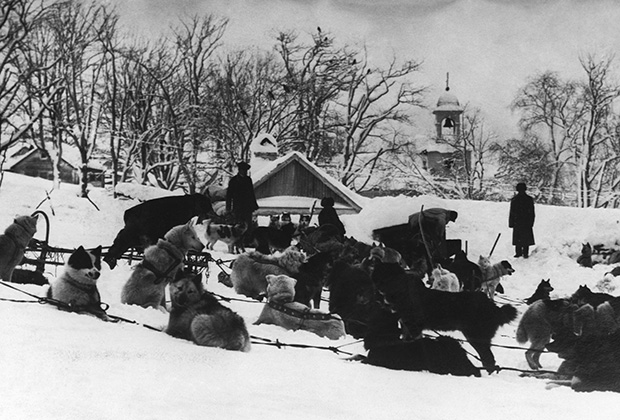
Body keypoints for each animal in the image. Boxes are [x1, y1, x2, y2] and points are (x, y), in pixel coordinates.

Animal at [370, 260, 516, 372]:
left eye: (380, 272)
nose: (372, 277)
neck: (403, 290)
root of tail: (494, 307)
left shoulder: (414, 327)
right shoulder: (407, 326)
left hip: (477, 336)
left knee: (488, 359)